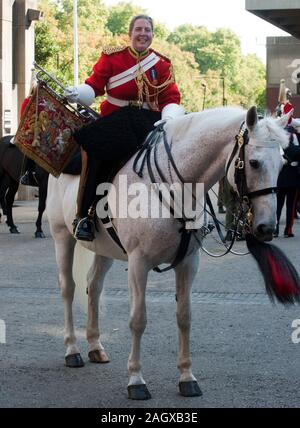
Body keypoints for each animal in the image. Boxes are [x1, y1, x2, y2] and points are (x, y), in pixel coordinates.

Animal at [46, 105, 290, 400]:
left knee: (93, 286)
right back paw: (72, 349)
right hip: (62, 236)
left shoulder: (189, 262)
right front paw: (136, 379)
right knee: (67, 288)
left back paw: (95, 346)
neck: (176, 186)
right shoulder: (138, 263)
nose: (267, 228)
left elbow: (184, 317)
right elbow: (138, 319)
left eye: (283, 164)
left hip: (105, 249)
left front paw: (186, 376)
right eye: (253, 162)